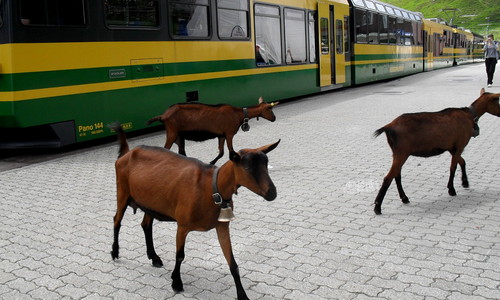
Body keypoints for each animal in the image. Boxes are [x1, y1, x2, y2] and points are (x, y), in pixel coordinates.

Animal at [109, 122, 280, 300]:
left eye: (266, 164)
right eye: (247, 167)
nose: (272, 193)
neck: (212, 187)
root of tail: (126, 154)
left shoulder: (222, 226)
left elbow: (232, 263)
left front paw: (242, 295)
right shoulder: (182, 225)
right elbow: (180, 255)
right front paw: (176, 283)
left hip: (149, 202)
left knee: (145, 225)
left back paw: (154, 257)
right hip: (122, 192)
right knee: (117, 220)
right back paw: (115, 252)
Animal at [146, 96, 280, 164]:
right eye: (270, 109)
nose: (274, 118)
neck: (239, 114)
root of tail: (164, 115)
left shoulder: (221, 135)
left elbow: (221, 152)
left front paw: (211, 162)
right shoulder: (229, 133)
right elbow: (232, 152)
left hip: (179, 135)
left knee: (181, 152)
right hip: (172, 132)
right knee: (166, 149)